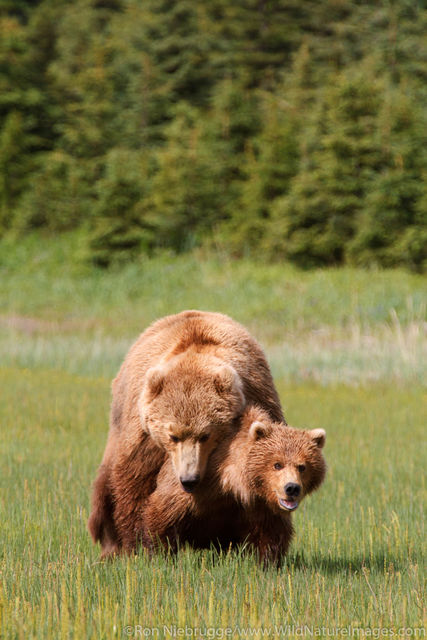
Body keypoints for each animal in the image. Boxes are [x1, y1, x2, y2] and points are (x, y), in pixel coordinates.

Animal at [88, 310, 286, 556]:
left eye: (206, 435)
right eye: (173, 436)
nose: (189, 479)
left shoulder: (256, 399)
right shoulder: (145, 438)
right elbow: (136, 481)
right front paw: (137, 544)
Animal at [141, 404, 328, 564]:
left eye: (302, 466)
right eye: (277, 464)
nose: (292, 488)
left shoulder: (260, 506)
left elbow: (271, 535)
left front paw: (267, 563)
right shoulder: (195, 484)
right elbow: (165, 515)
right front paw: (161, 556)